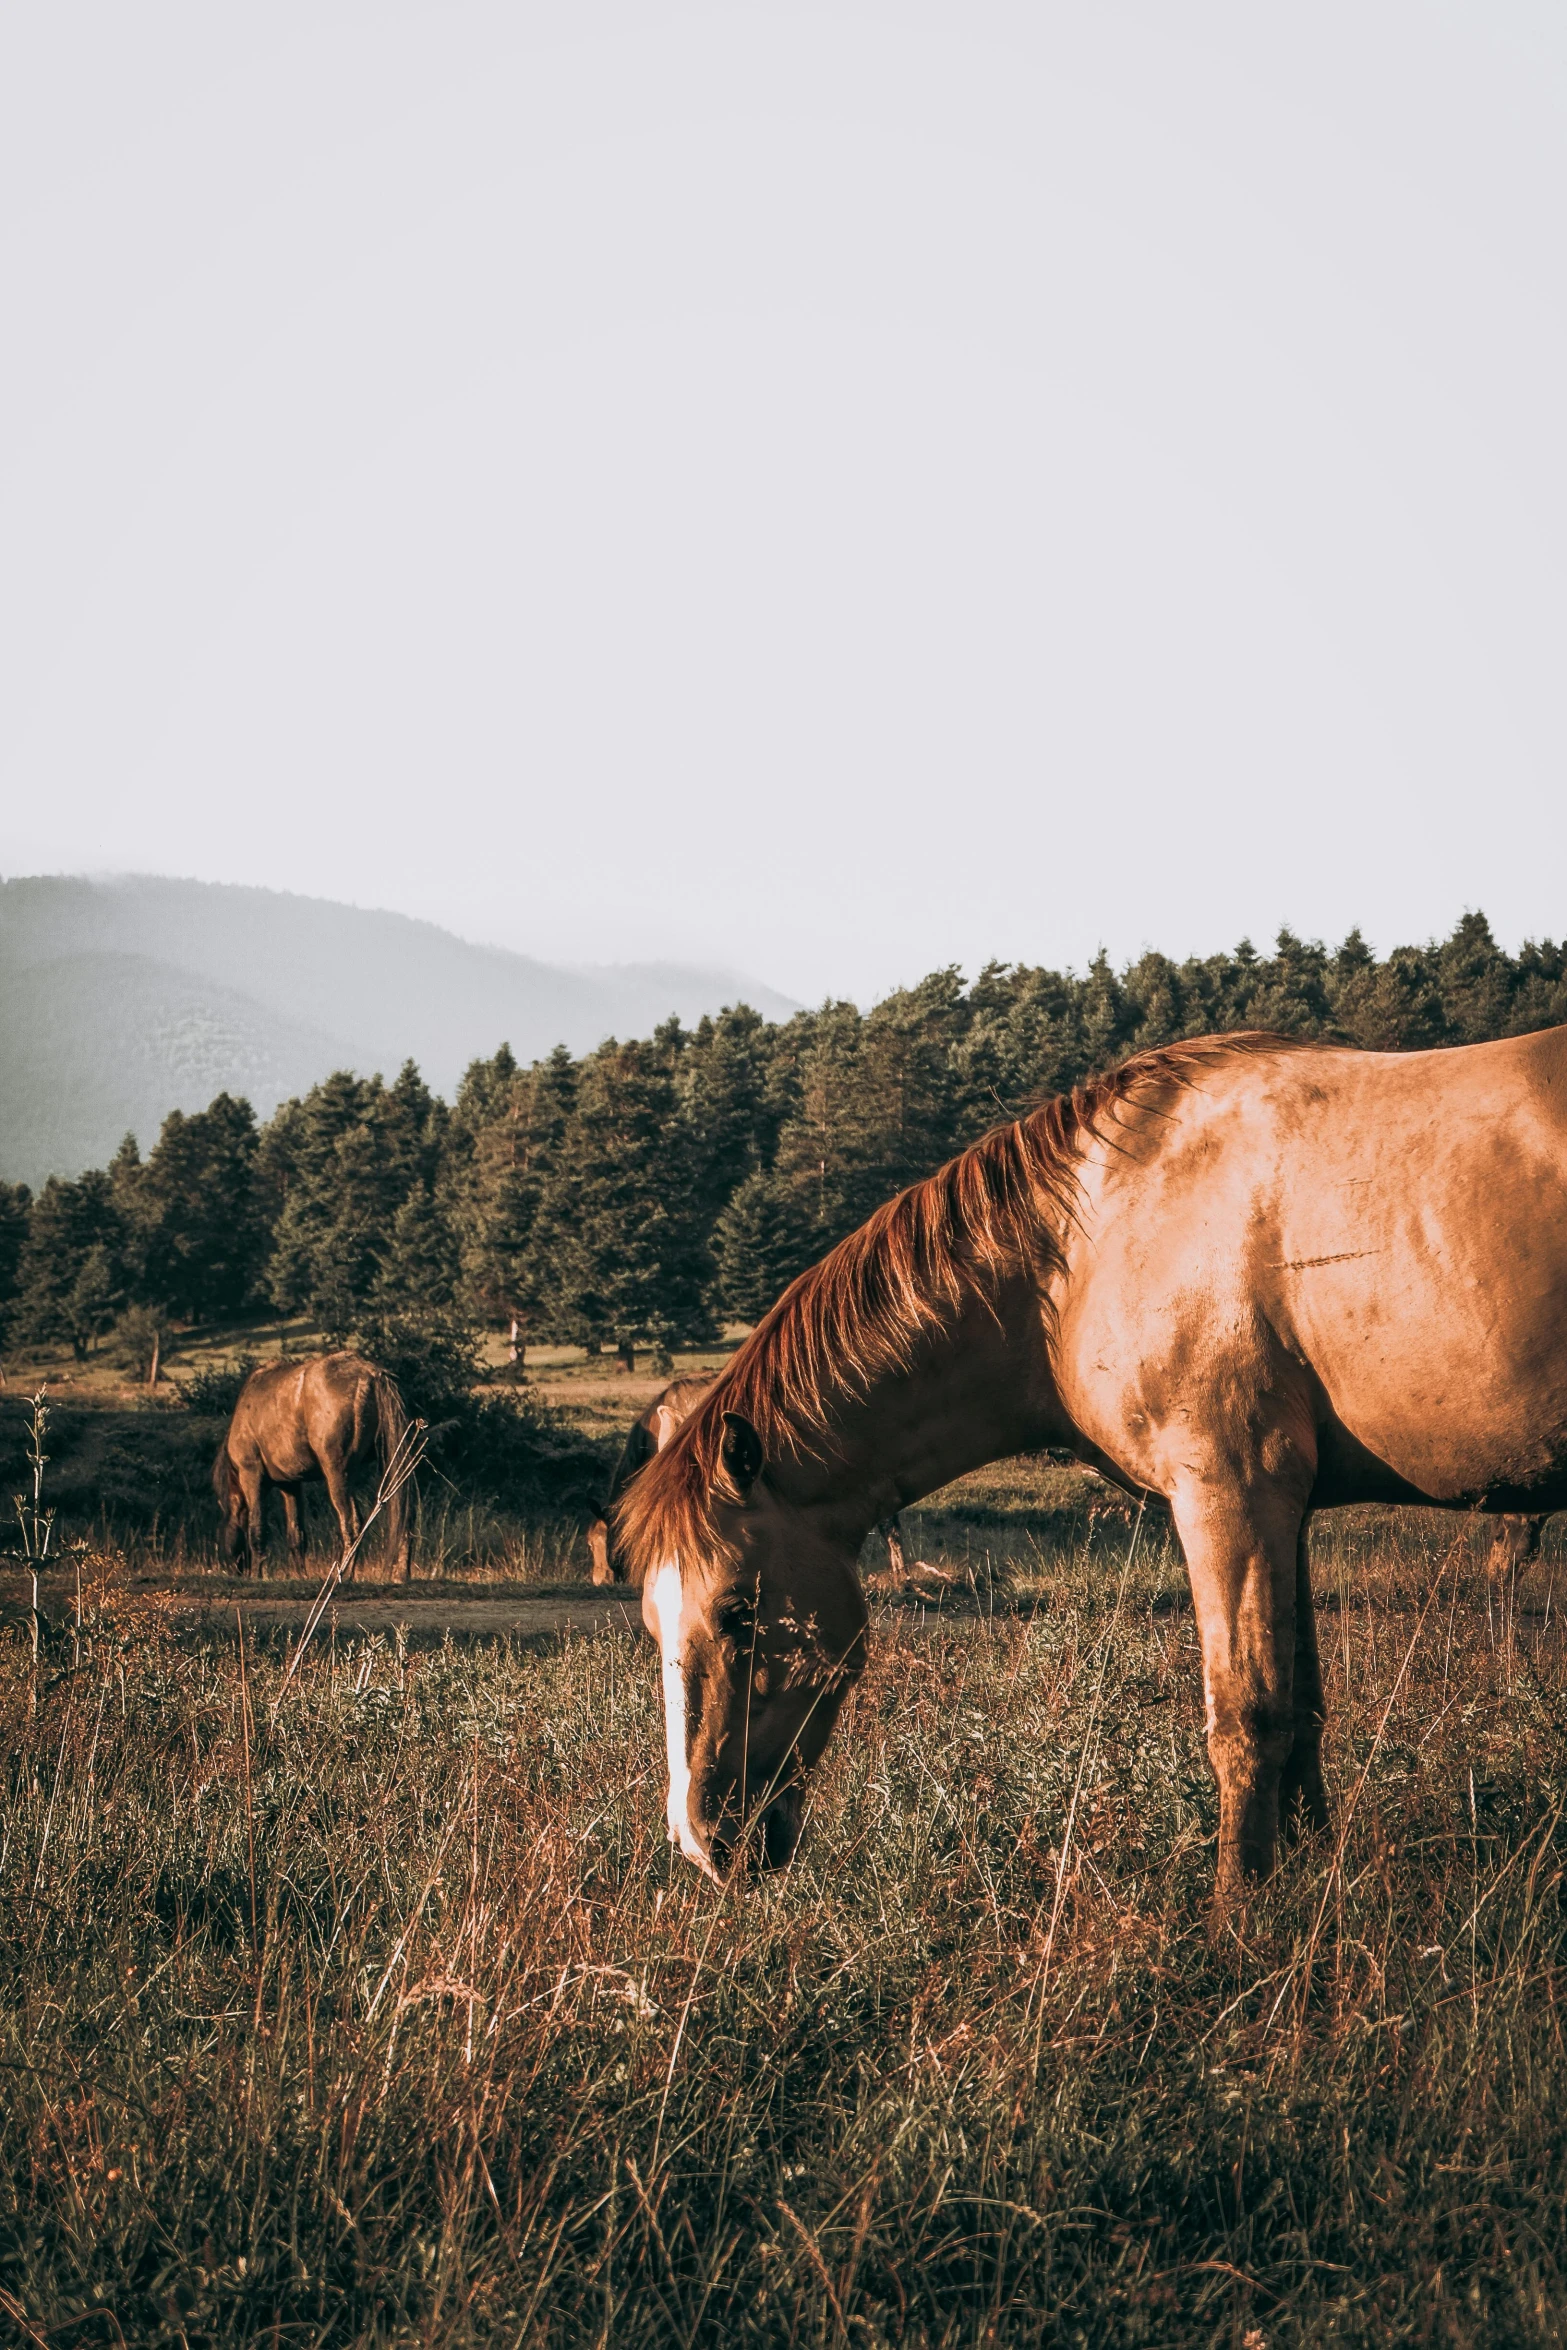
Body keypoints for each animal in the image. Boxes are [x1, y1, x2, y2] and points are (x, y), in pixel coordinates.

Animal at [214, 1363, 413, 1579]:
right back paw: (401, 1574)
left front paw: (258, 1575)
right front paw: (302, 1575)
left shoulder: (251, 1475)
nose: (234, 1571)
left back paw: (344, 1573)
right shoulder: (290, 1484)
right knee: (404, 1517)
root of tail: (372, 1374)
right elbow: (296, 1535)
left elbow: (257, 1529)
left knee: (352, 1523)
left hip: (337, 1473)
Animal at [620, 1029, 1567, 1889]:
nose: (700, 1842)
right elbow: (1300, 1706)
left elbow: (1246, 1714)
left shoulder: (1228, 1488)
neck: (1086, 1243)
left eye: (738, 1612)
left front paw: (1240, 1921)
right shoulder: (1282, 1507)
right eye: (652, 1624)